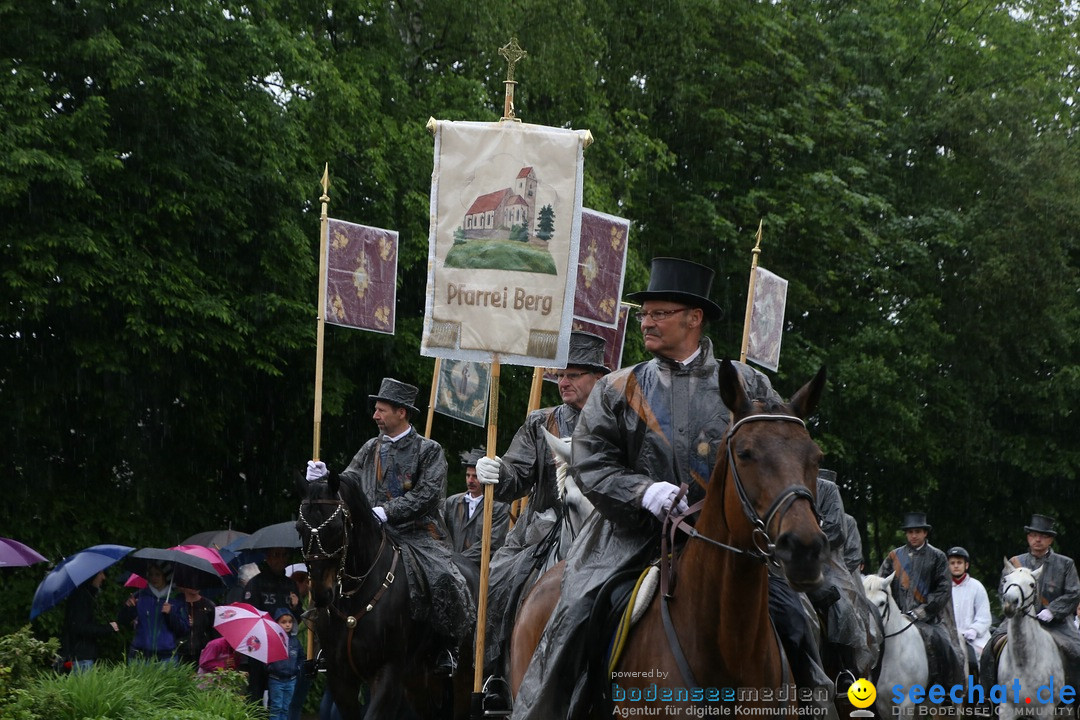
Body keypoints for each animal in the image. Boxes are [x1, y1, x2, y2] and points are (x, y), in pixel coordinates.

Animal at [993, 565, 1062, 716]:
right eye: (1005, 580)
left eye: (1031, 584)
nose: (1010, 603)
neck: (1024, 663)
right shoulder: (1007, 708)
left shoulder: (1045, 710)